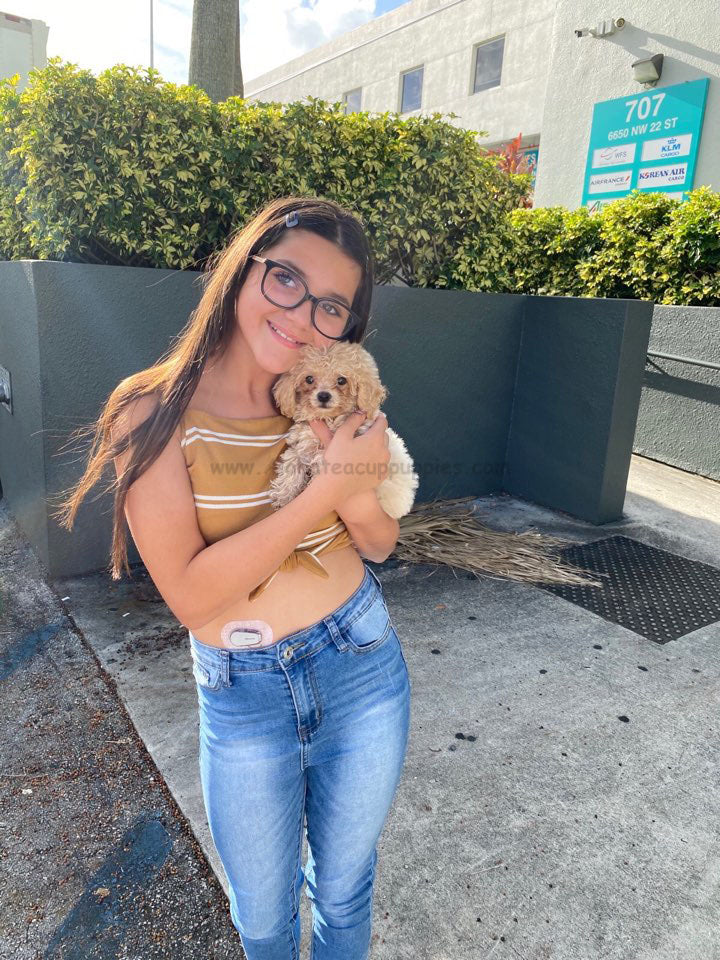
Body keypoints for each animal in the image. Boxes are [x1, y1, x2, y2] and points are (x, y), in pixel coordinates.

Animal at [268, 338, 416, 516]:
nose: (323, 396)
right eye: (309, 379)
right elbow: (291, 466)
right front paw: (283, 496)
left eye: (341, 380)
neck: (328, 418)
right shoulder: (300, 446)